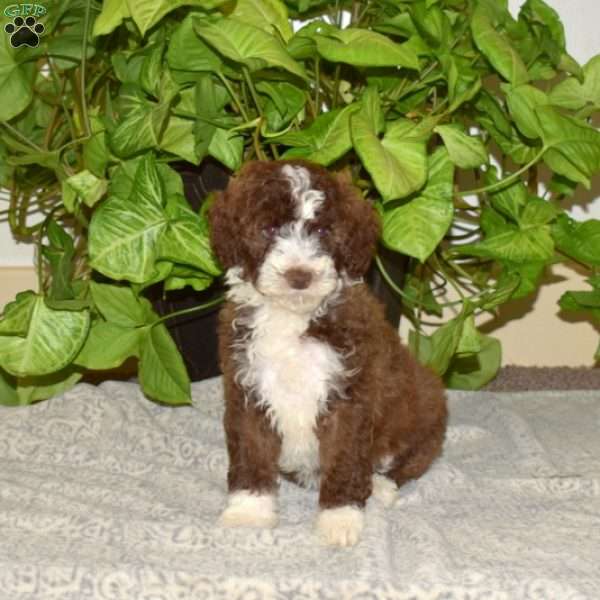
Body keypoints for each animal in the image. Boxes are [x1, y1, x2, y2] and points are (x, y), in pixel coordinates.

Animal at [207, 159, 446, 548]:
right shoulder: (247, 388)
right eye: (269, 228)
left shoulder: (348, 396)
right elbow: (251, 453)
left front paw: (339, 518)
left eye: (321, 230)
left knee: (410, 462)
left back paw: (381, 485)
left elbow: (344, 459)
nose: (299, 275)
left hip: (423, 414)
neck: (293, 317)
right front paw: (249, 511)